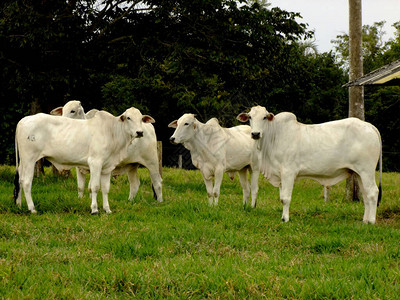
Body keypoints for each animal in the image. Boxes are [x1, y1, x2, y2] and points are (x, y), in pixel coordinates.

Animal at [14, 106, 155, 214]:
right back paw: (32, 209)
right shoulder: (95, 162)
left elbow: (105, 188)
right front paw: (95, 209)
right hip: (29, 159)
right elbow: (95, 187)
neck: (112, 132)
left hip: (23, 162)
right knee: (26, 182)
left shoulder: (107, 168)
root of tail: (23, 120)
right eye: (128, 118)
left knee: (19, 180)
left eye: (141, 119)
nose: (140, 132)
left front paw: (107, 209)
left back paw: (19, 205)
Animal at [236, 104, 382, 224]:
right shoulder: (280, 175)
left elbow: (285, 198)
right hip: (358, 173)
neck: (275, 136)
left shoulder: (288, 172)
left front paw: (285, 219)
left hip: (367, 171)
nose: (255, 134)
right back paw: (365, 220)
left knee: (373, 192)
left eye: (265, 117)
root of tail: (369, 126)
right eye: (250, 117)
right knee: (366, 195)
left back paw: (371, 221)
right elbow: (282, 197)